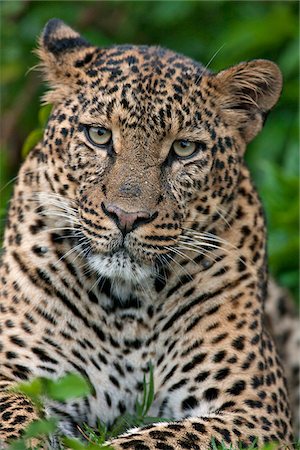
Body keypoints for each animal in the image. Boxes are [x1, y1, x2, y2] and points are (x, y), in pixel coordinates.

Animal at [0, 17, 296, 450]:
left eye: (185, 148)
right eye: (99, 135)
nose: (126, 217)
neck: (127, 306)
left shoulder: (257, 409)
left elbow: (156, 437)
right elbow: (15, 417)